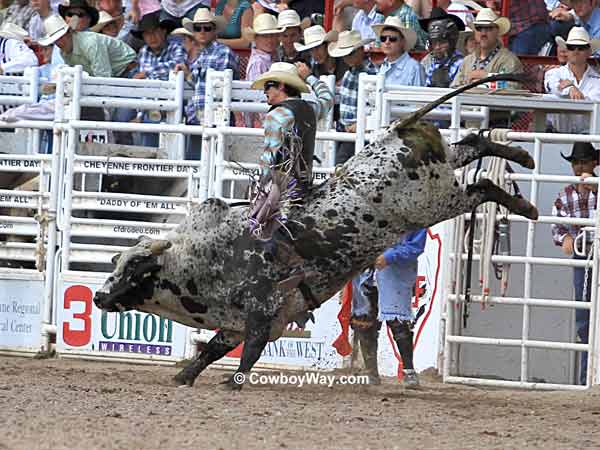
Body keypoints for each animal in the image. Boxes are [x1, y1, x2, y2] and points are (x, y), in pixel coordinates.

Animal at [95, 75, 540, 388]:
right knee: (472, 142)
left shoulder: (262, 312)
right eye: (114, 265)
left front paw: (230, 383)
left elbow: (247, 352)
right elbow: (214, 348)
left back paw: (525, 203)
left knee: (482, 186)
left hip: (436, 202)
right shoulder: (240, 319)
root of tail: (396, 131)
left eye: (133, 270)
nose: (99, 296)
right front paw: (185, 375)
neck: (203, 259)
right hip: (442, 168)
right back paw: (521, 155)